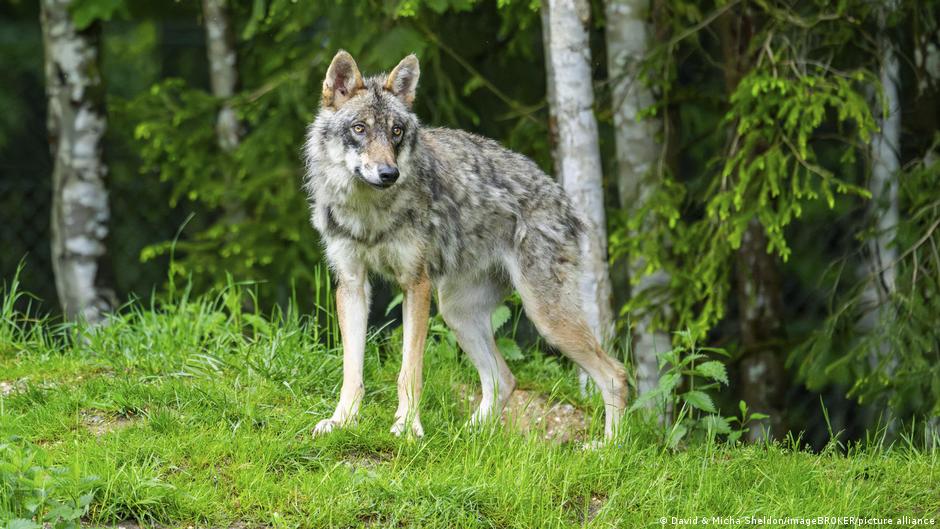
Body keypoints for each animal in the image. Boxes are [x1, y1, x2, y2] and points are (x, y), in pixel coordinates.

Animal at [303, 50, 628, 440]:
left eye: (396, 131)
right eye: (360, 129)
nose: (389, 174)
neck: (370, 212)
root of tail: (565, 201)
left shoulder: (416, 284)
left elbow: (409, 371)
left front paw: (408, 427)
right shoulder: (352, 284)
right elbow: (352, 370)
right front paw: (342, 421)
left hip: (546, 319)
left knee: (616, 375)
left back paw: (607, 448)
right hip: (457, 313)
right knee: (504, 379)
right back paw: (467, 436)